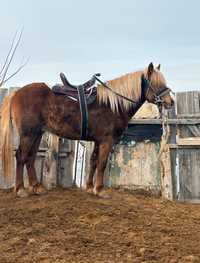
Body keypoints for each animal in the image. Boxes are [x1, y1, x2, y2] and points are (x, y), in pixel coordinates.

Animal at [0, 62, 173, 198]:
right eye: (156, 83)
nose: (170, 102)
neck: (113, 105)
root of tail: (16, 93)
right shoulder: (106, 141)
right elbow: (102, 163)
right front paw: (100, 190)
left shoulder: (98, 141)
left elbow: (93, 161)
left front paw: (90, 187)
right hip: (28, 134)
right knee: (21, 156)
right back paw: (20, 189)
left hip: (37, 134)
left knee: (30, 158)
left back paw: (36, 187)